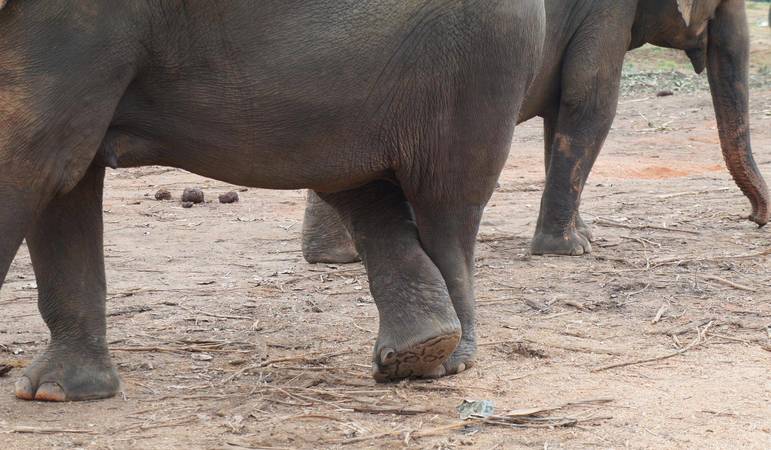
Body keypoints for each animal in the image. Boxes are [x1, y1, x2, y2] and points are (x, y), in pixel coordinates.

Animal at [0, 0, 544, 400]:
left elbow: (34, 156)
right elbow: (61, 175)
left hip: (472, 68)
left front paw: (47, 393)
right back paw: (419, 352)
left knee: (445, 210)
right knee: (361, 190)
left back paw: (446, 362)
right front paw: (55, 393)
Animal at [304, 0, 768, 264]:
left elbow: (560, 113)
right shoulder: (606, 11)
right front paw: (570, 251)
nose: (755, 219)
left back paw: (338, 258)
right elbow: (592, 101)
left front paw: (584, 236)